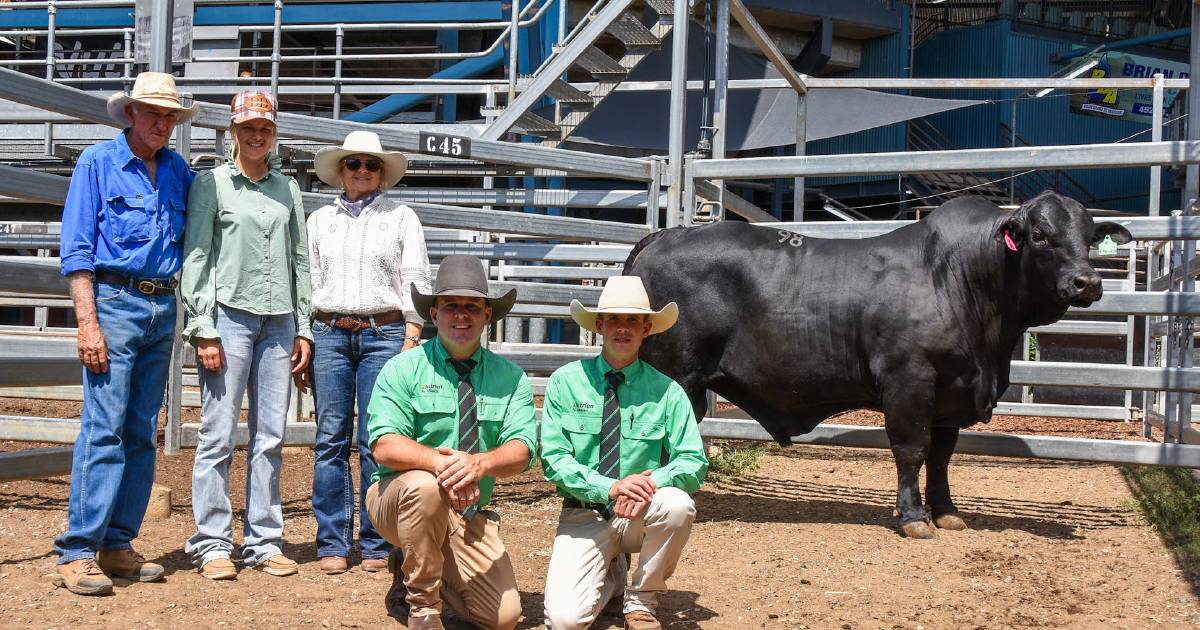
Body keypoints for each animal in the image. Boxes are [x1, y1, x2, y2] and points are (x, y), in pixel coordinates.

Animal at [624, 192, 1128, 535]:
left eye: (1090, 238)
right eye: (1040, 236)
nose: (1087, 282)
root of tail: (669, 233)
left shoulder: (951, 393)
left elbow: (942, 457)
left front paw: (946, 512)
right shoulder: (910, 381)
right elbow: (912, 449)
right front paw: (914, 517)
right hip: (676, 376)